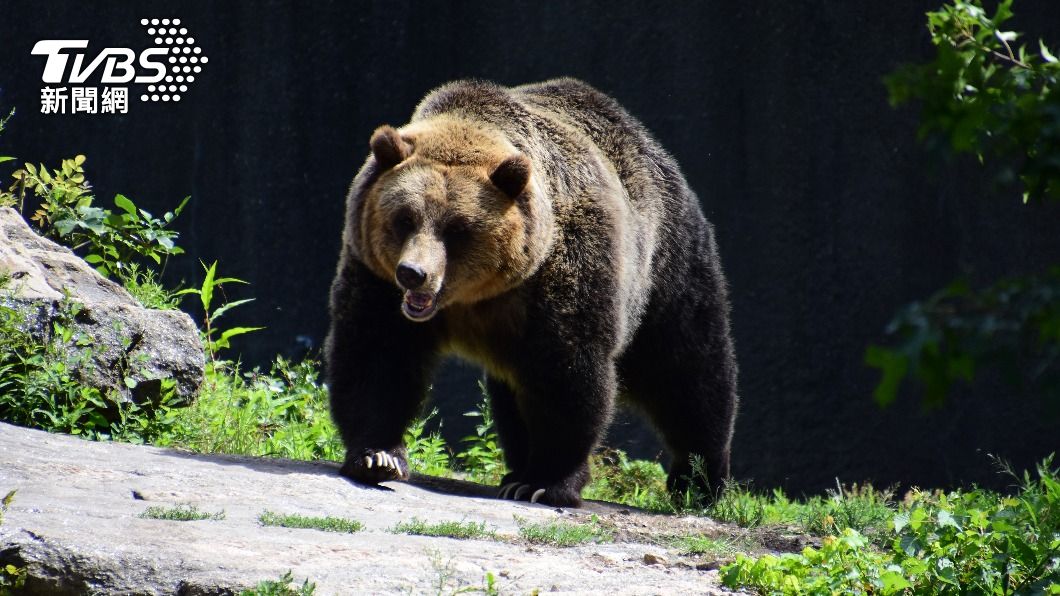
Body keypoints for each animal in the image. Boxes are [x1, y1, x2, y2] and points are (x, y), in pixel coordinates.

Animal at [325, 78, 738, 507]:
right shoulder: (376, 276)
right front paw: (378, 456)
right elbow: (378, 354)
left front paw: (547, 482)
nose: (413, 274)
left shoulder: (561, 277)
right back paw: (515, 470)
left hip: (664, 267)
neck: (479, 295)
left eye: (456, 229)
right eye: (405, 218)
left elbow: (567, 373)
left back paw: (699, 482)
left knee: (688, 369)